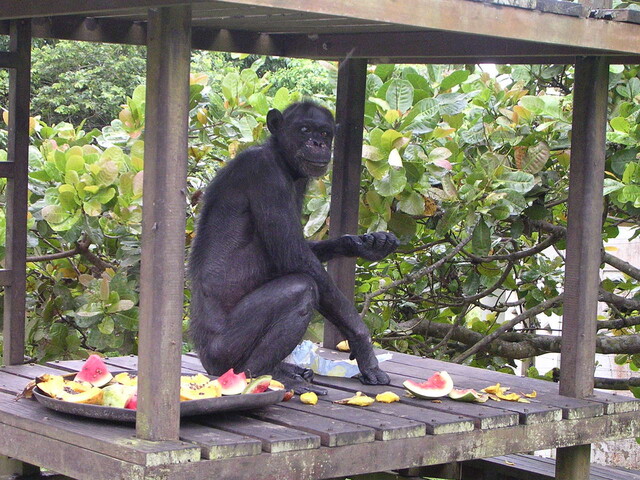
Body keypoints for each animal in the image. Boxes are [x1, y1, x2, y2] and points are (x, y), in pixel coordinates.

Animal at [190, 101, 398, 394]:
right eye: (304, 129)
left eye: (324, 133)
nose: (317, 143)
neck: (280, 157)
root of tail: (204, 360)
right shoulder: (266, 176)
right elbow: (294, 257)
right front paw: (362, 342)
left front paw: (364, 244)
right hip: (223, 354)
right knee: (300, 289)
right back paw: (267, 374)